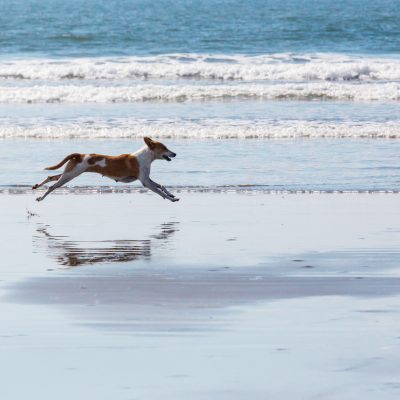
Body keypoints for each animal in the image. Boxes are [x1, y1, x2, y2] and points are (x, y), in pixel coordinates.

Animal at [32, 137, 179, 202]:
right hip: (70, 175)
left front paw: (171, 194)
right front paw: (170, 198)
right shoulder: (145, 182)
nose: (175, 153)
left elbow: (161, 185)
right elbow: (159, 191)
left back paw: (36, 186)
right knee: (52, 186)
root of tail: (79, 155)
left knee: (51, 177)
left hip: (69, 172)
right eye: (164, 148)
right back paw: (40, 197)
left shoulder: (147, 179)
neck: (144, 157)